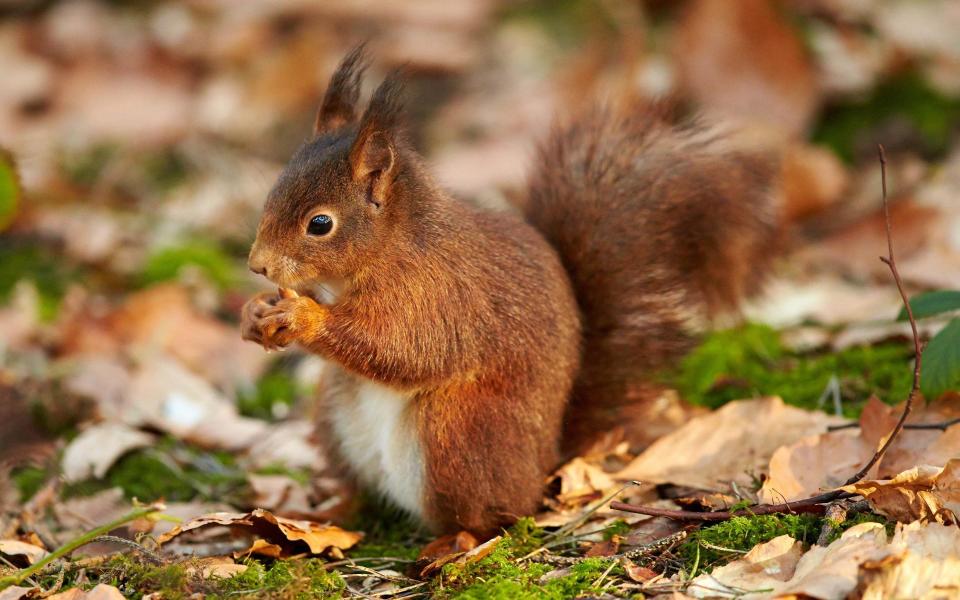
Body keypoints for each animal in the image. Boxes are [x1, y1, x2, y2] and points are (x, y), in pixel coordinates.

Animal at [242, 47, 780, 536]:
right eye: (273, 192)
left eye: (320, 224)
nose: (257, 265)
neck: (393, 246)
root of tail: (544, 464)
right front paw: (257, 312)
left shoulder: (438, 295)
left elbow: (403, 348)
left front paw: (304, 319)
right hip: (338, 420)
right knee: (365, 494)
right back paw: (325, 514)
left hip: (454, 435)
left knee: (487, 519)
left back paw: (451, 546)